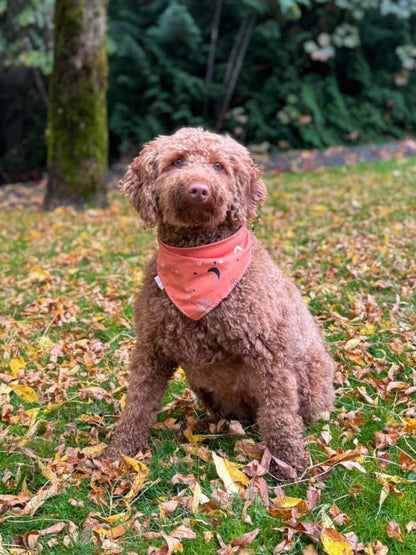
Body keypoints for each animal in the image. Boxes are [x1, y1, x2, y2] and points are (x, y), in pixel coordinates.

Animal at [105, 128, 336, 480]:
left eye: (219, 166)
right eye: (177, 162)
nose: (198, 189)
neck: (197, 265)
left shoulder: (269, 353)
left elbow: (280, 414)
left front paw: (288, 463)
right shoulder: (151, 349)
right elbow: (138, 403)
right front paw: (121, 452)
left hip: (309, 377)